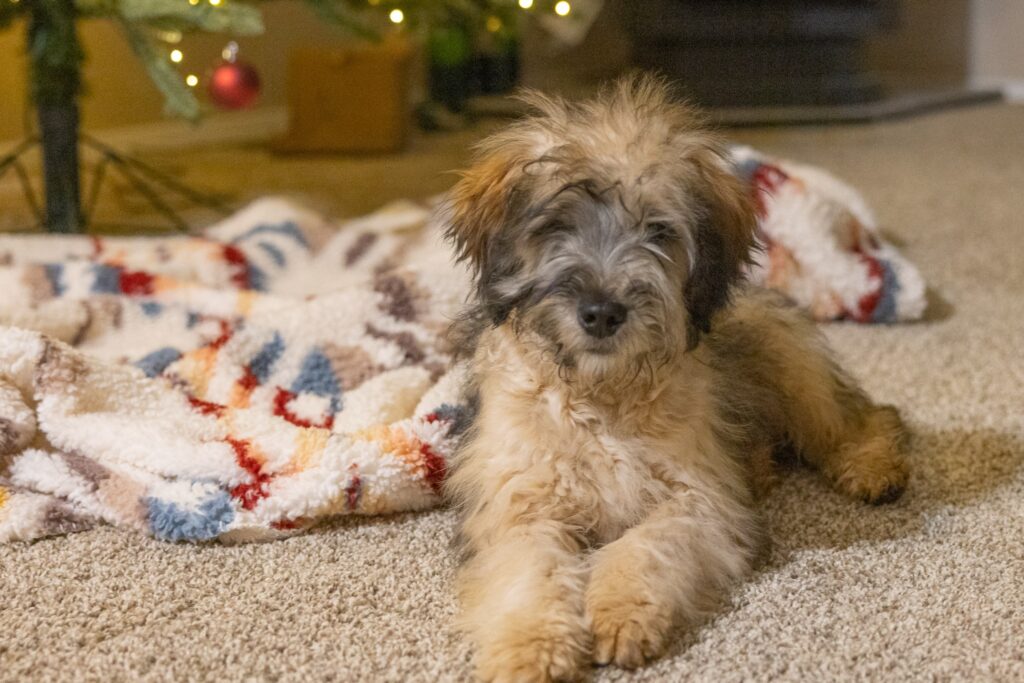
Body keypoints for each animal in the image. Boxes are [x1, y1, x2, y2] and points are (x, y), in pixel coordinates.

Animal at [438, 77, 905, 679]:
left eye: (658, 232)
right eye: (556, 225)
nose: (602, 312)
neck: (602, 396)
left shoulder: (696, 497)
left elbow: (644, 547)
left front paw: (622, 615)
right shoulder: (517, 507)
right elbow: (531, 576)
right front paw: (532, 650)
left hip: (795, 373)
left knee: (862, 416)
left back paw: (873, 469)